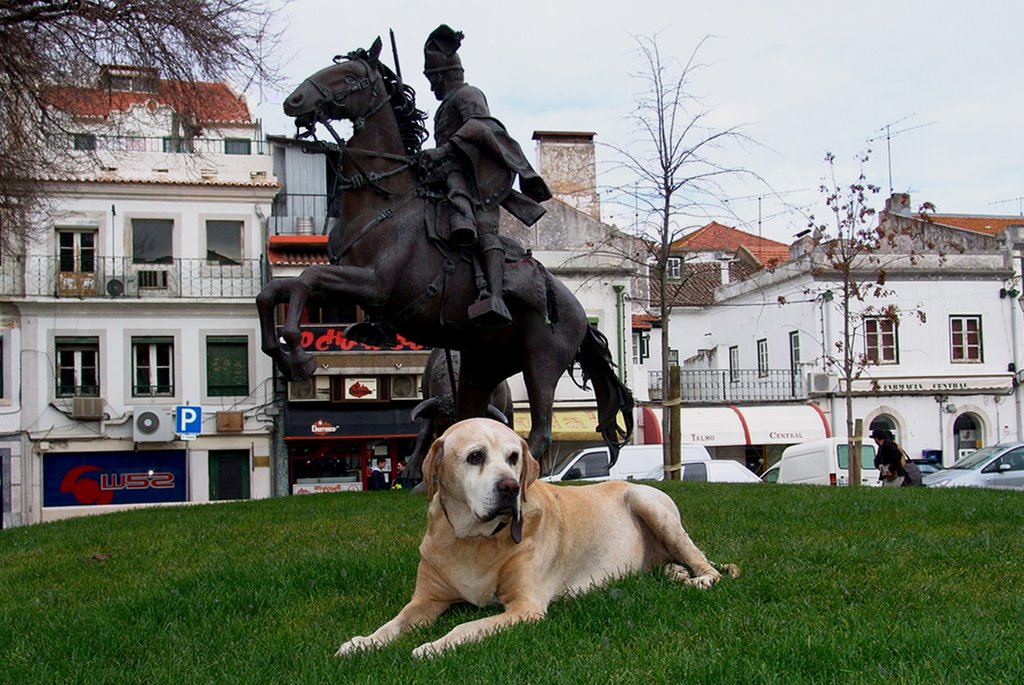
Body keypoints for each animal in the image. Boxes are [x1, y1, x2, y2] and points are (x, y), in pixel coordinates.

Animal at [335, 417, 737, 655]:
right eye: (475, 456)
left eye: (514, 456)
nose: (511, 488)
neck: (474, 540)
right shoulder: (425, 601)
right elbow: (394, 623)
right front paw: (362, 642)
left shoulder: (524, 608)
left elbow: (467, 626)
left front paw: (432, 646)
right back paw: (675, 574)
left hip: (647, 502)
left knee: (705, 564)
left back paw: (698, 579)